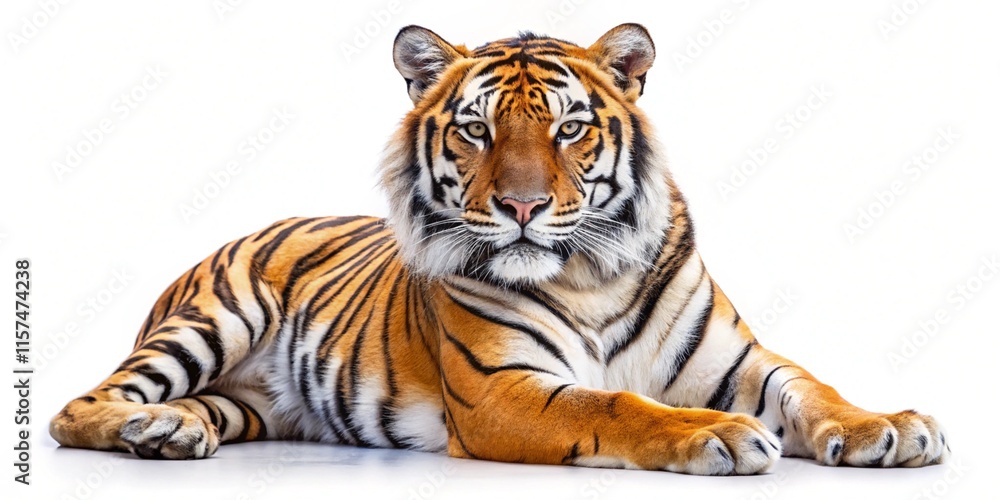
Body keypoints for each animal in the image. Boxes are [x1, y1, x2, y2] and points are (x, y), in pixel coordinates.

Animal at [50, 23, 949, 475]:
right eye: (477, 131)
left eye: (569, 129)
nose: (522, 206)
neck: (593, 276)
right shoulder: (502, 389)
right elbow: (616, 405)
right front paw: (716, 436)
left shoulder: (740, 361)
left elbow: (813, 386)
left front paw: (890, 427)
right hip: (212, 320)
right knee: (76, 408)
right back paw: (145, 429)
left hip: (251, 402)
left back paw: (172, 431)